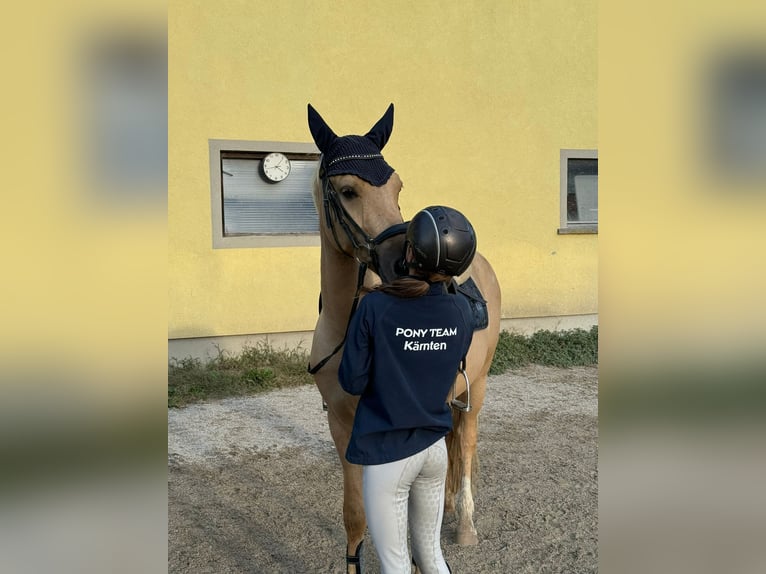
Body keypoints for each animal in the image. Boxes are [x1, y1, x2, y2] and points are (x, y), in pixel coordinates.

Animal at [308, 104, 504, 574]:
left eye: (397, 185)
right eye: (347, 190)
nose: (403, 258)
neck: (347, 324)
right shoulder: (340, 426)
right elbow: (355, 514)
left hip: (477, 389)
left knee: (466, 444)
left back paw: (464, 523)